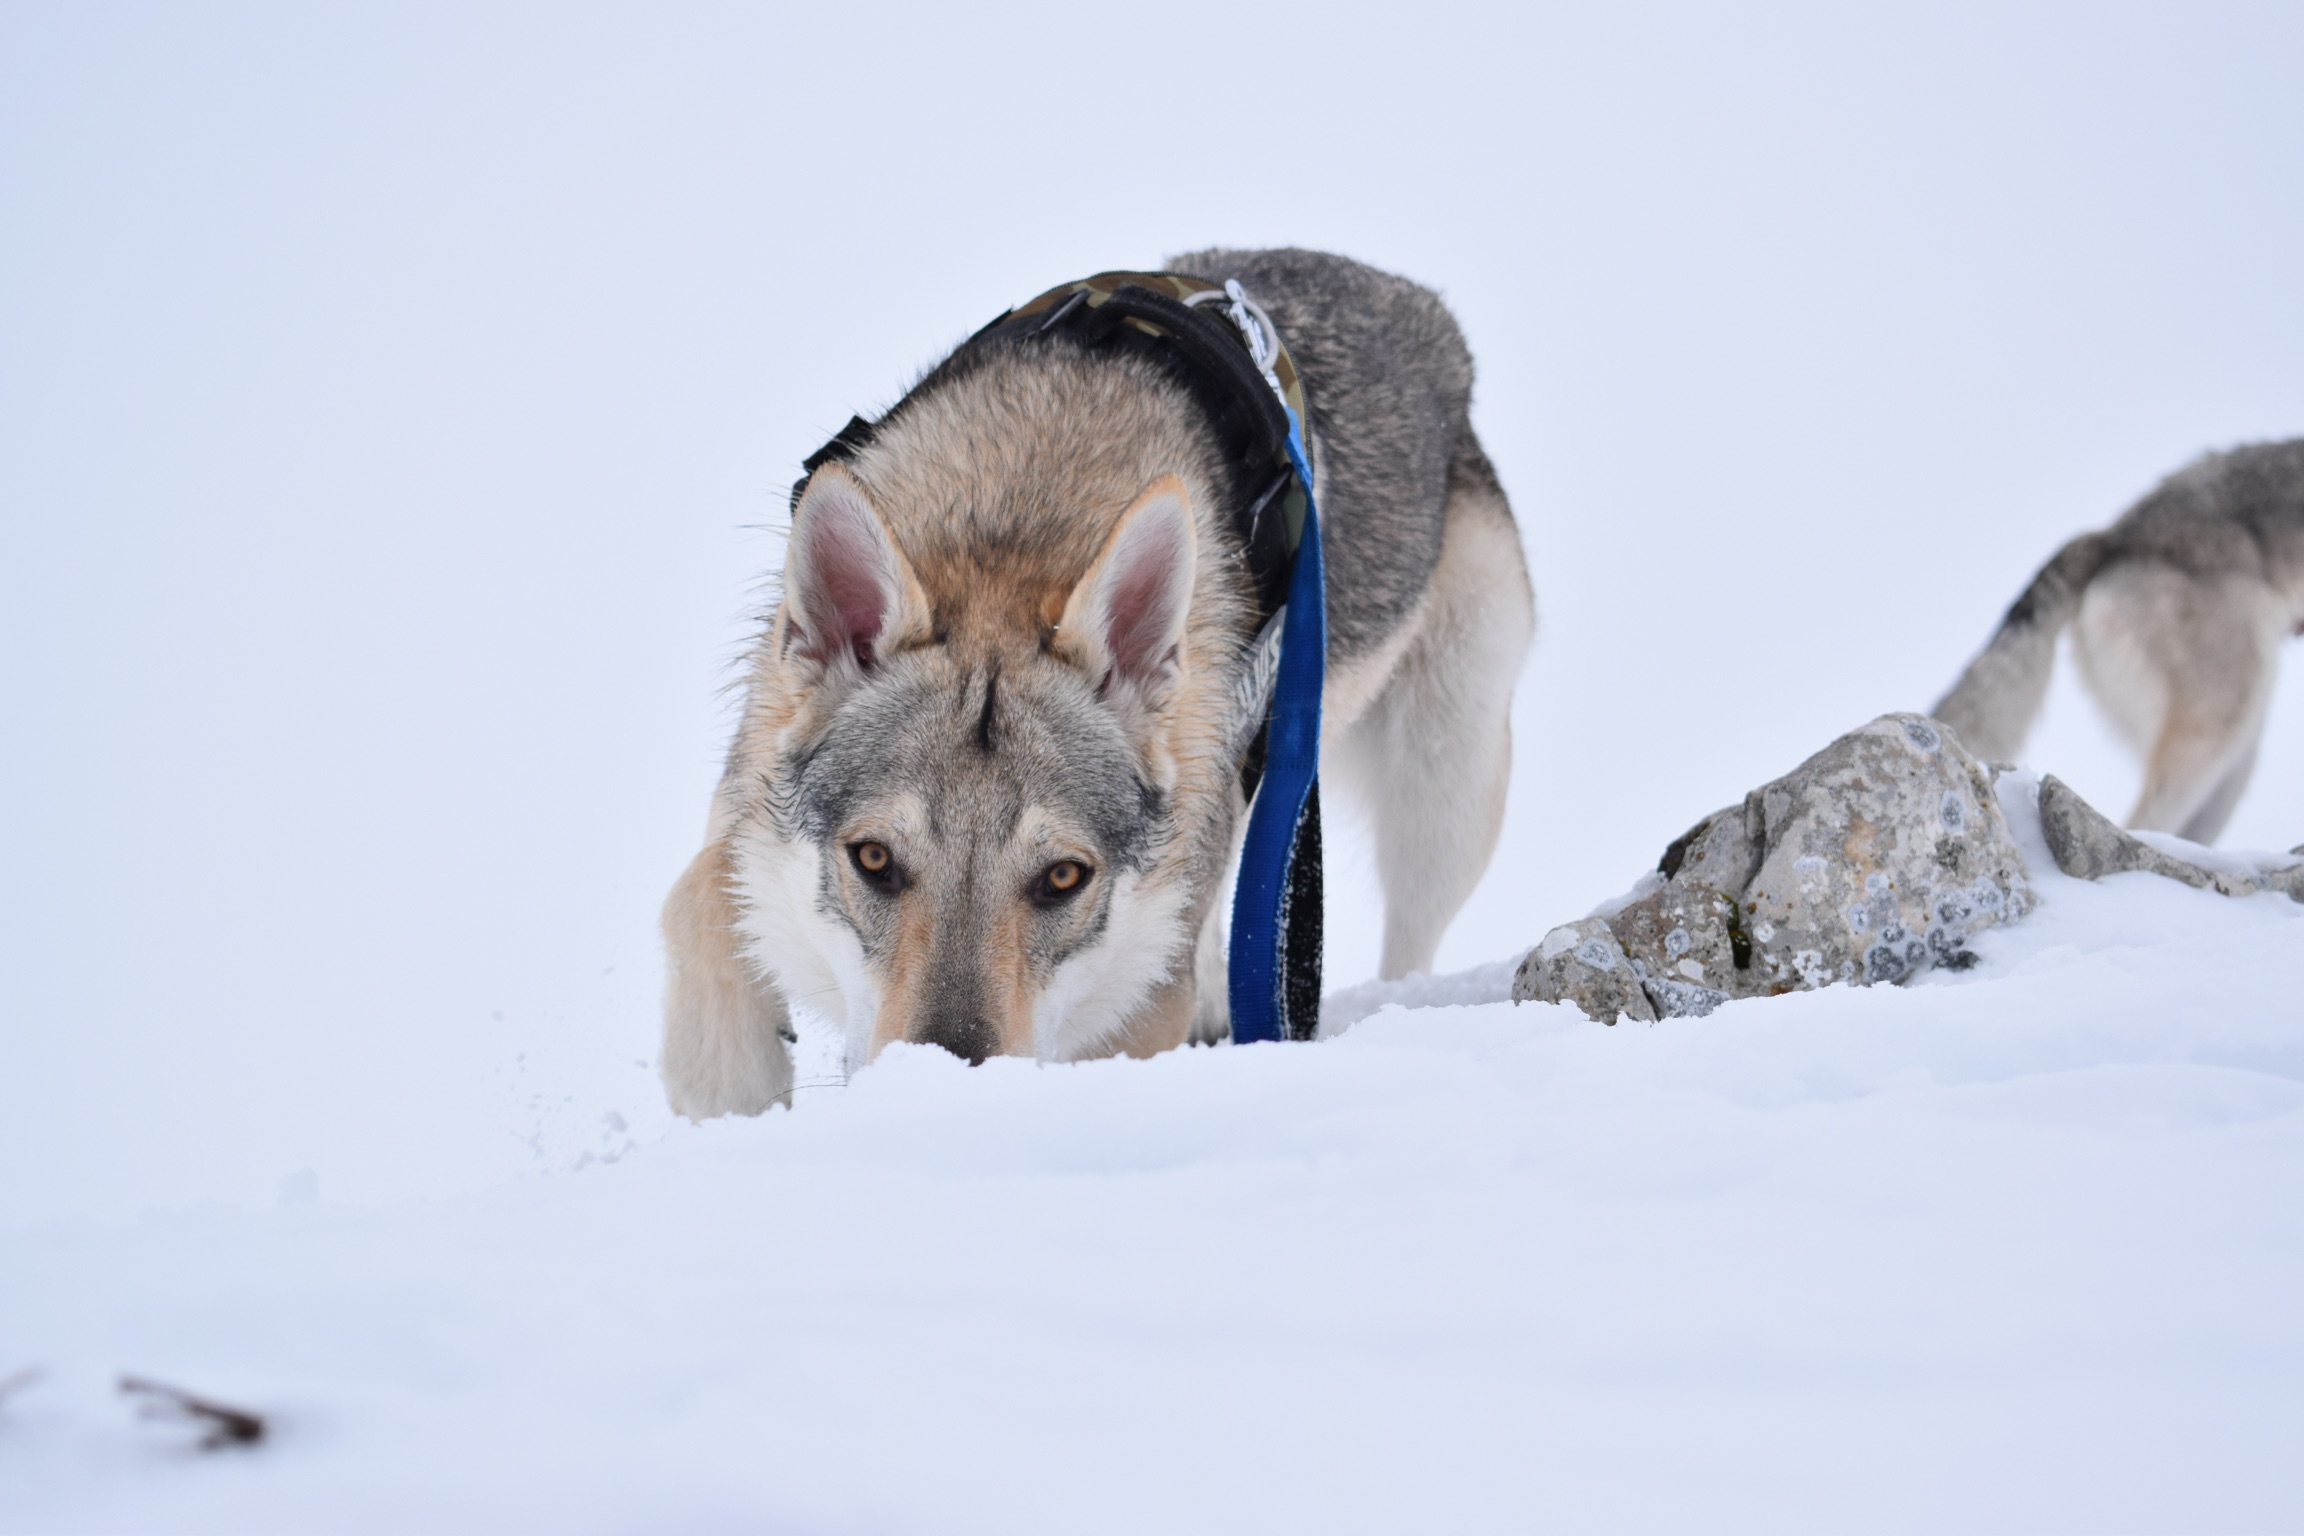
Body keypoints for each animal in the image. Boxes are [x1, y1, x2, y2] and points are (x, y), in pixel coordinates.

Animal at [660, 249, 1535, 1117]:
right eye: (874, 860)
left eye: (1063, 879)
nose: (945, 1096)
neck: (1017, 526)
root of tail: (1407, 295)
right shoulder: (743, 806)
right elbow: (698, 896)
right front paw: (732, 1100)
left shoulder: (1146, 982)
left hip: (1442, 789)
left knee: (1408, 946)